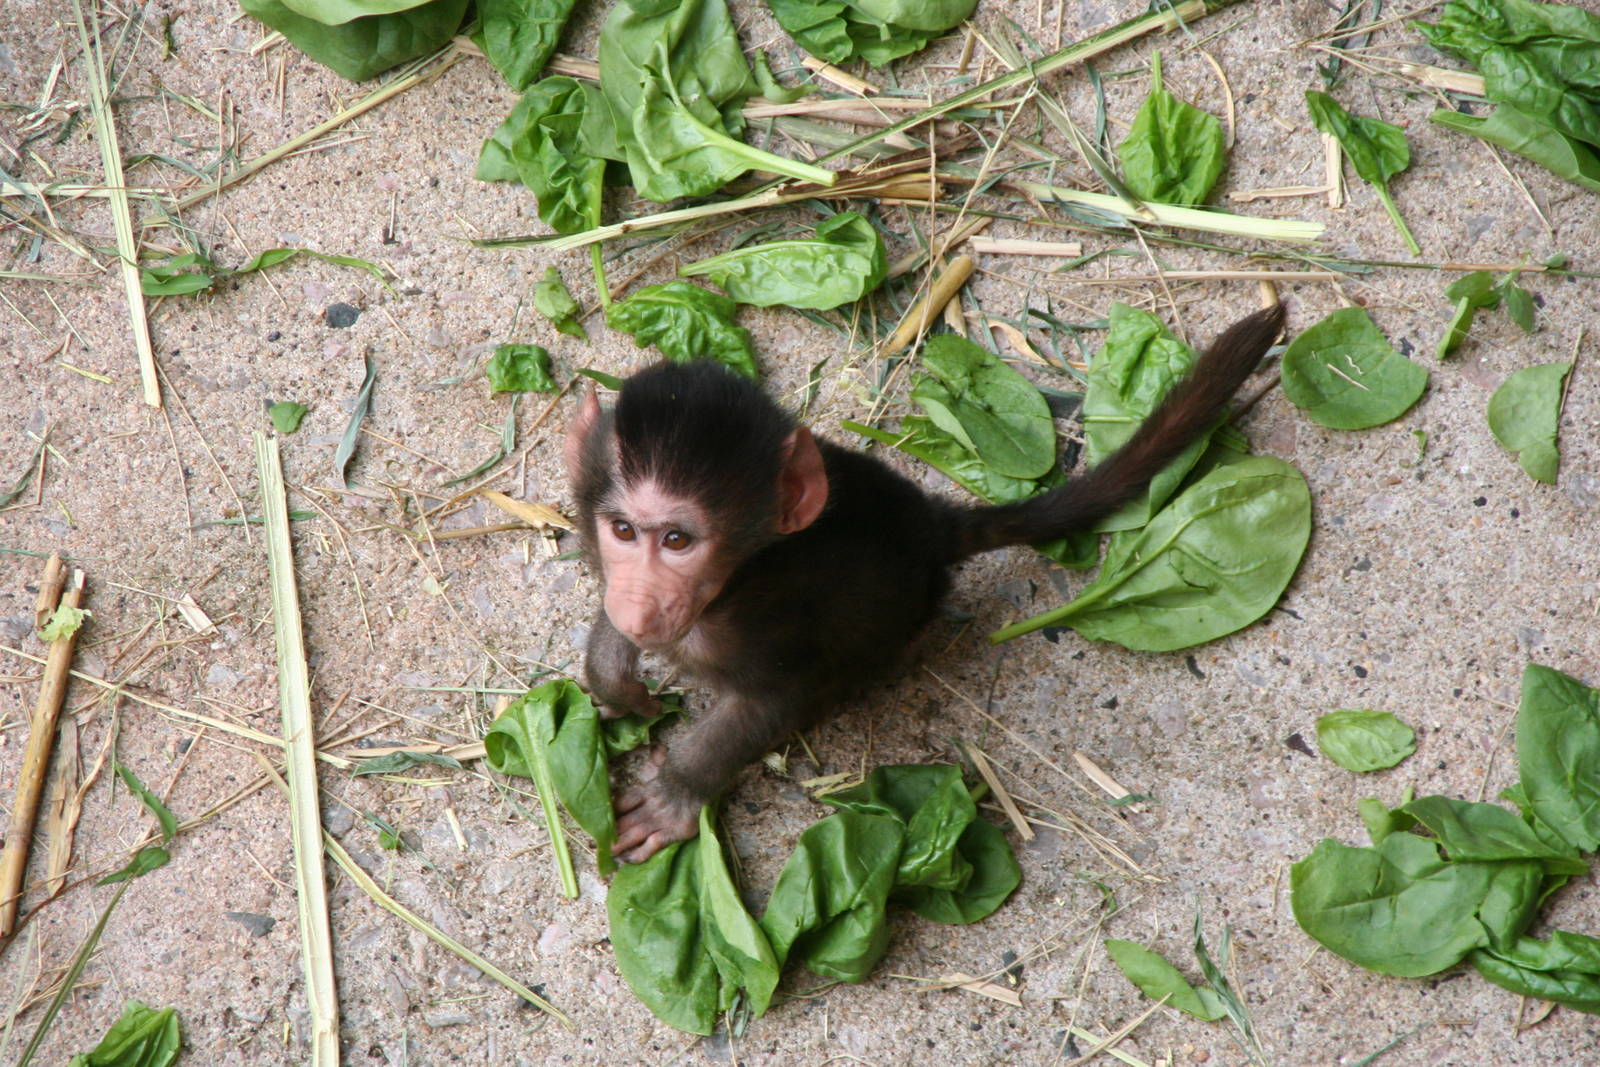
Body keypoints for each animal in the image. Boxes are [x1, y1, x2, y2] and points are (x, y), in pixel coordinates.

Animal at [564, 303, 1285, 863]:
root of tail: (933, 524)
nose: (641, 606)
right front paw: (615, 677)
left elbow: (769, 704)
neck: (735, 583)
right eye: (623, 531)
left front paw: (676, 791)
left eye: (678, 541)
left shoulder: (772, 621)